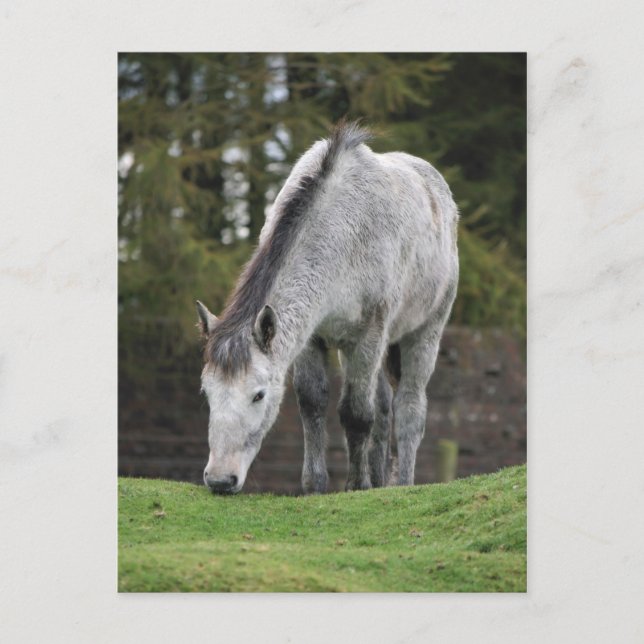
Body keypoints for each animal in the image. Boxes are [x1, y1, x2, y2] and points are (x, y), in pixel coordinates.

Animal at [196, 121, 459, 495]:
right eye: (207, 393)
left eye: (258, 395)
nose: (220, 479)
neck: (343, 234)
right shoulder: (310, 338)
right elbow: (312, 402)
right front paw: (316, 485)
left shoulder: (368, 336)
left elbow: (355, 413)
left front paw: (356, 486)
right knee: (383, 406)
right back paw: (379, 481)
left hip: (423, 334)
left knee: (409, 408)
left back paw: (402, 483)